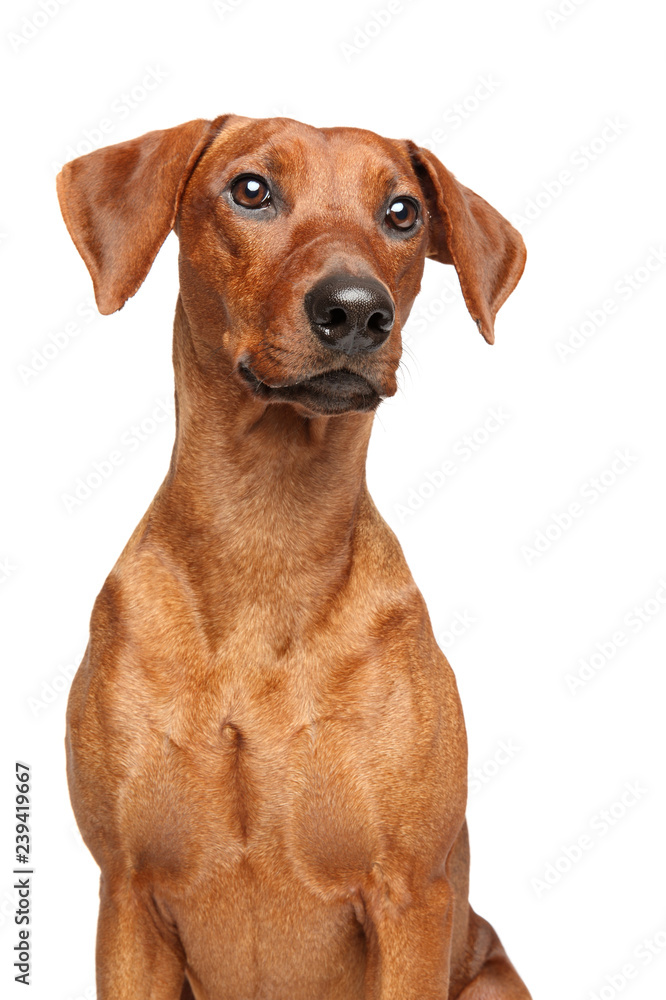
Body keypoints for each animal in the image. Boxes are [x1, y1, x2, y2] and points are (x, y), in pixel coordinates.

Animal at [57, 113, 528, 996]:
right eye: (251, 189)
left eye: (403, 212)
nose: (357, 309)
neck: (266, 536)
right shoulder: (128, 894)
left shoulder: (410, 897)